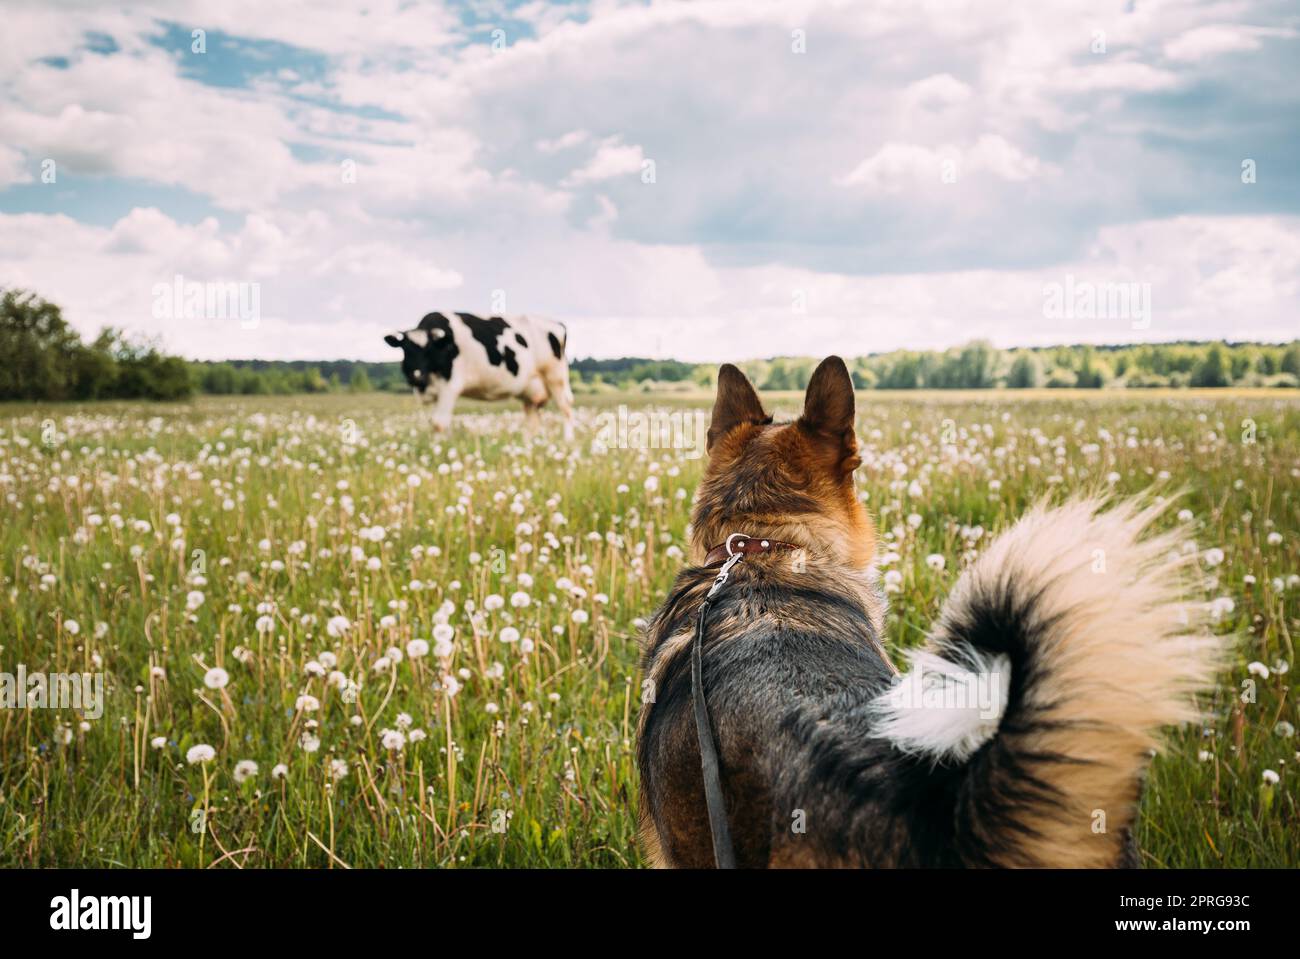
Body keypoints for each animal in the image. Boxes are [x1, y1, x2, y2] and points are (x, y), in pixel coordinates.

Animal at [379, 310, 574, 436]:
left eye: (428, 350)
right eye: (405, 349)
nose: (416, 376)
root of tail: (557, 324)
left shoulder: (451, 385)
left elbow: (439, 423)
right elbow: (437, 423)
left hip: (556, 377)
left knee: (566, 409)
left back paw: (567, 441)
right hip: (531, 390)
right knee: (531, 421)